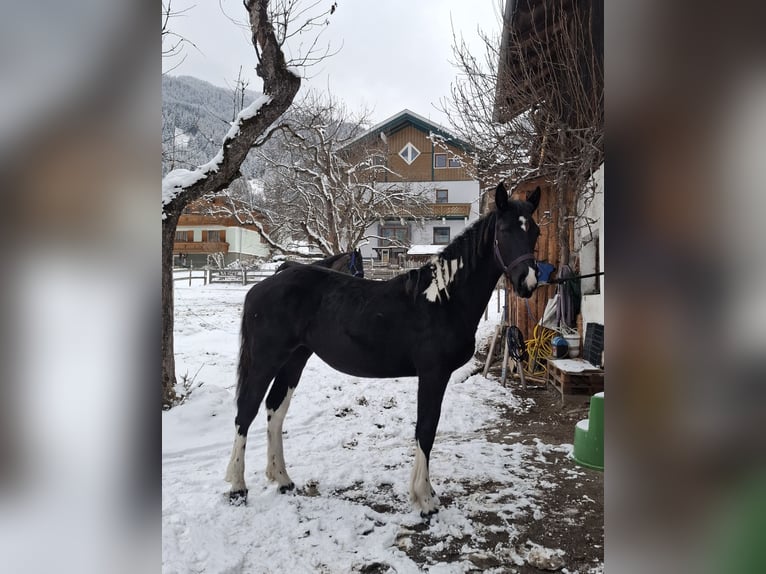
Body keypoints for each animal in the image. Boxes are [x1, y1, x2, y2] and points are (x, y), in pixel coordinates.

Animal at [225, 183, 544, 516]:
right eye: (505, 230)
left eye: (535, 231)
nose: (528, 281)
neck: (444, 298)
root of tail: (266, 283)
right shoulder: (433, 374)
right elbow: (426, 430)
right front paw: (425, 499)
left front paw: (426, 494)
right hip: (265, 360)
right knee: (246, 411)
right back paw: (237, 487)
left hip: (294, 359)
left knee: (275, 409)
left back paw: (282, 479)